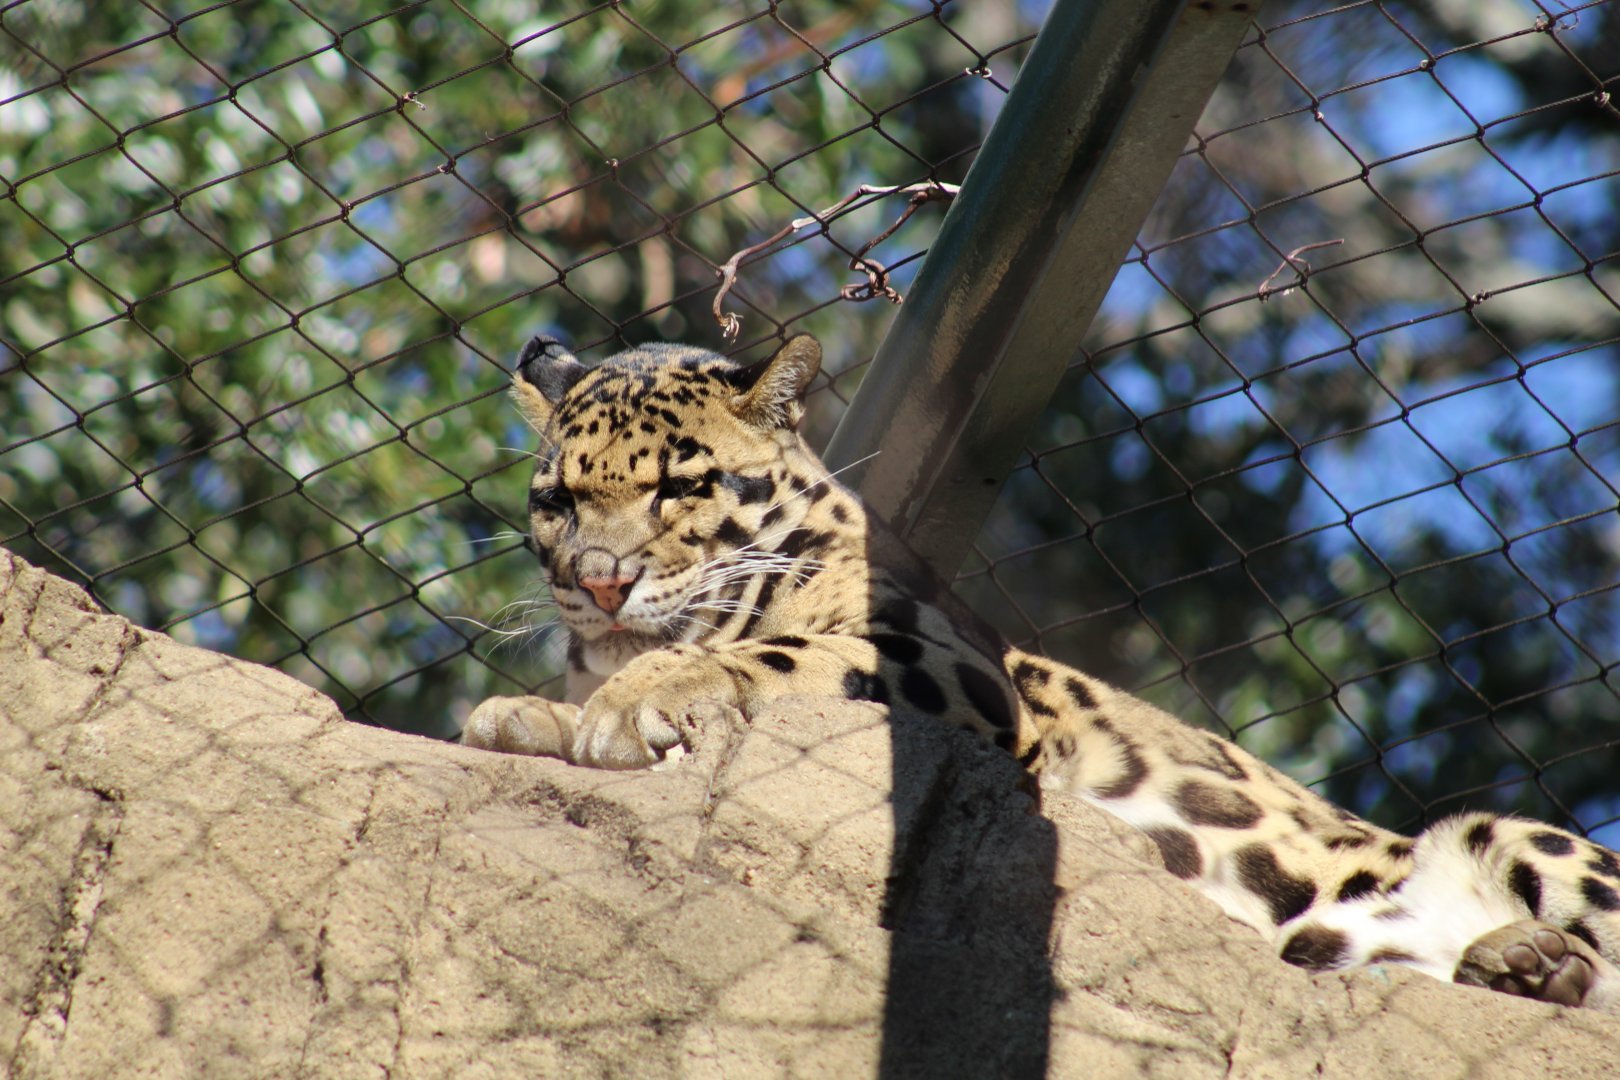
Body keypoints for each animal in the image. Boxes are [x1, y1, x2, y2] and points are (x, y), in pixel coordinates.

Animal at [462, 332, 1620, 1013]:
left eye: (680, 487)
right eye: (556, 501)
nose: (600, 583)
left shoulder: (954, 663)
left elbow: (758, 649)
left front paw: (631, 700)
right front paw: (527, 716)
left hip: (1526, 840)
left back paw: (1543, 959)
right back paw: (1520, 963)